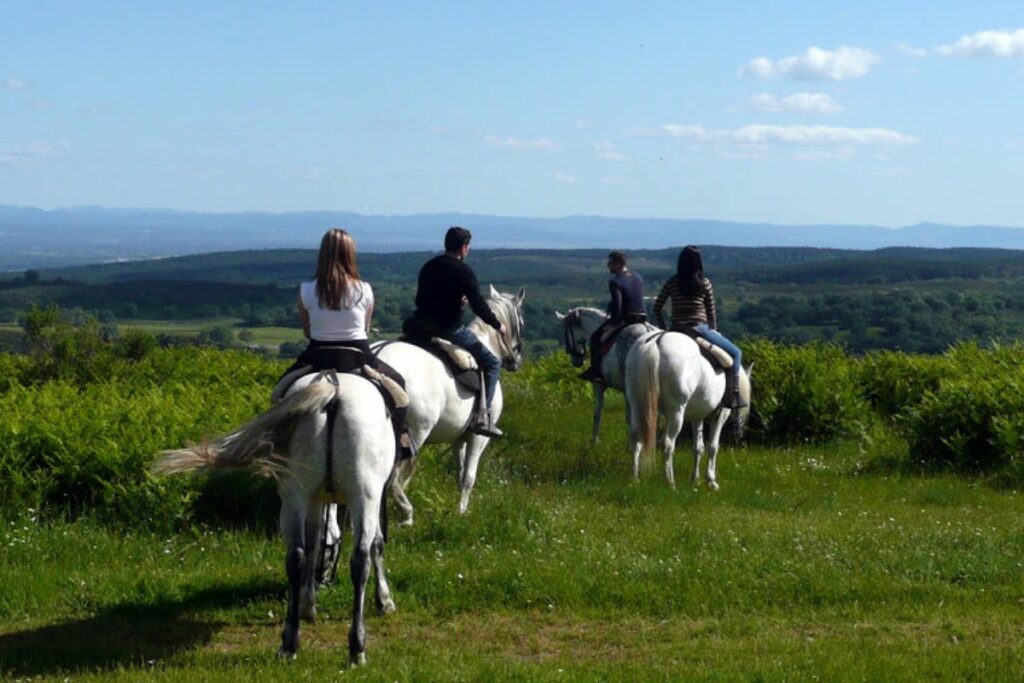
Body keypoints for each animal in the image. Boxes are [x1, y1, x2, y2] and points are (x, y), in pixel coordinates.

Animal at [154, 368, 395, 667]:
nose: (325, 580)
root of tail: (334, 391)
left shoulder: (315, 499)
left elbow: (315, 543)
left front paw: (307, 605)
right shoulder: (375, 495)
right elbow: (376, 544)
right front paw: (384, 600)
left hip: (295, 495)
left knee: (296, 555)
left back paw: (290, 642)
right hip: (364, 494)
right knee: (360, 558)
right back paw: (356, 648)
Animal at [618, 333, 757, 489]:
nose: (739, 435)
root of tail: (656, 341)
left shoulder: (697, 417)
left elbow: (698, 447)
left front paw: (695, 479)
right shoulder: (720, 415)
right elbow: (713, 446)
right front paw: (711, 481)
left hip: (637, 406)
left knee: (636, 439)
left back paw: (635, 479)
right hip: (677, 412)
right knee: (668, 444)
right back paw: (670, 482)